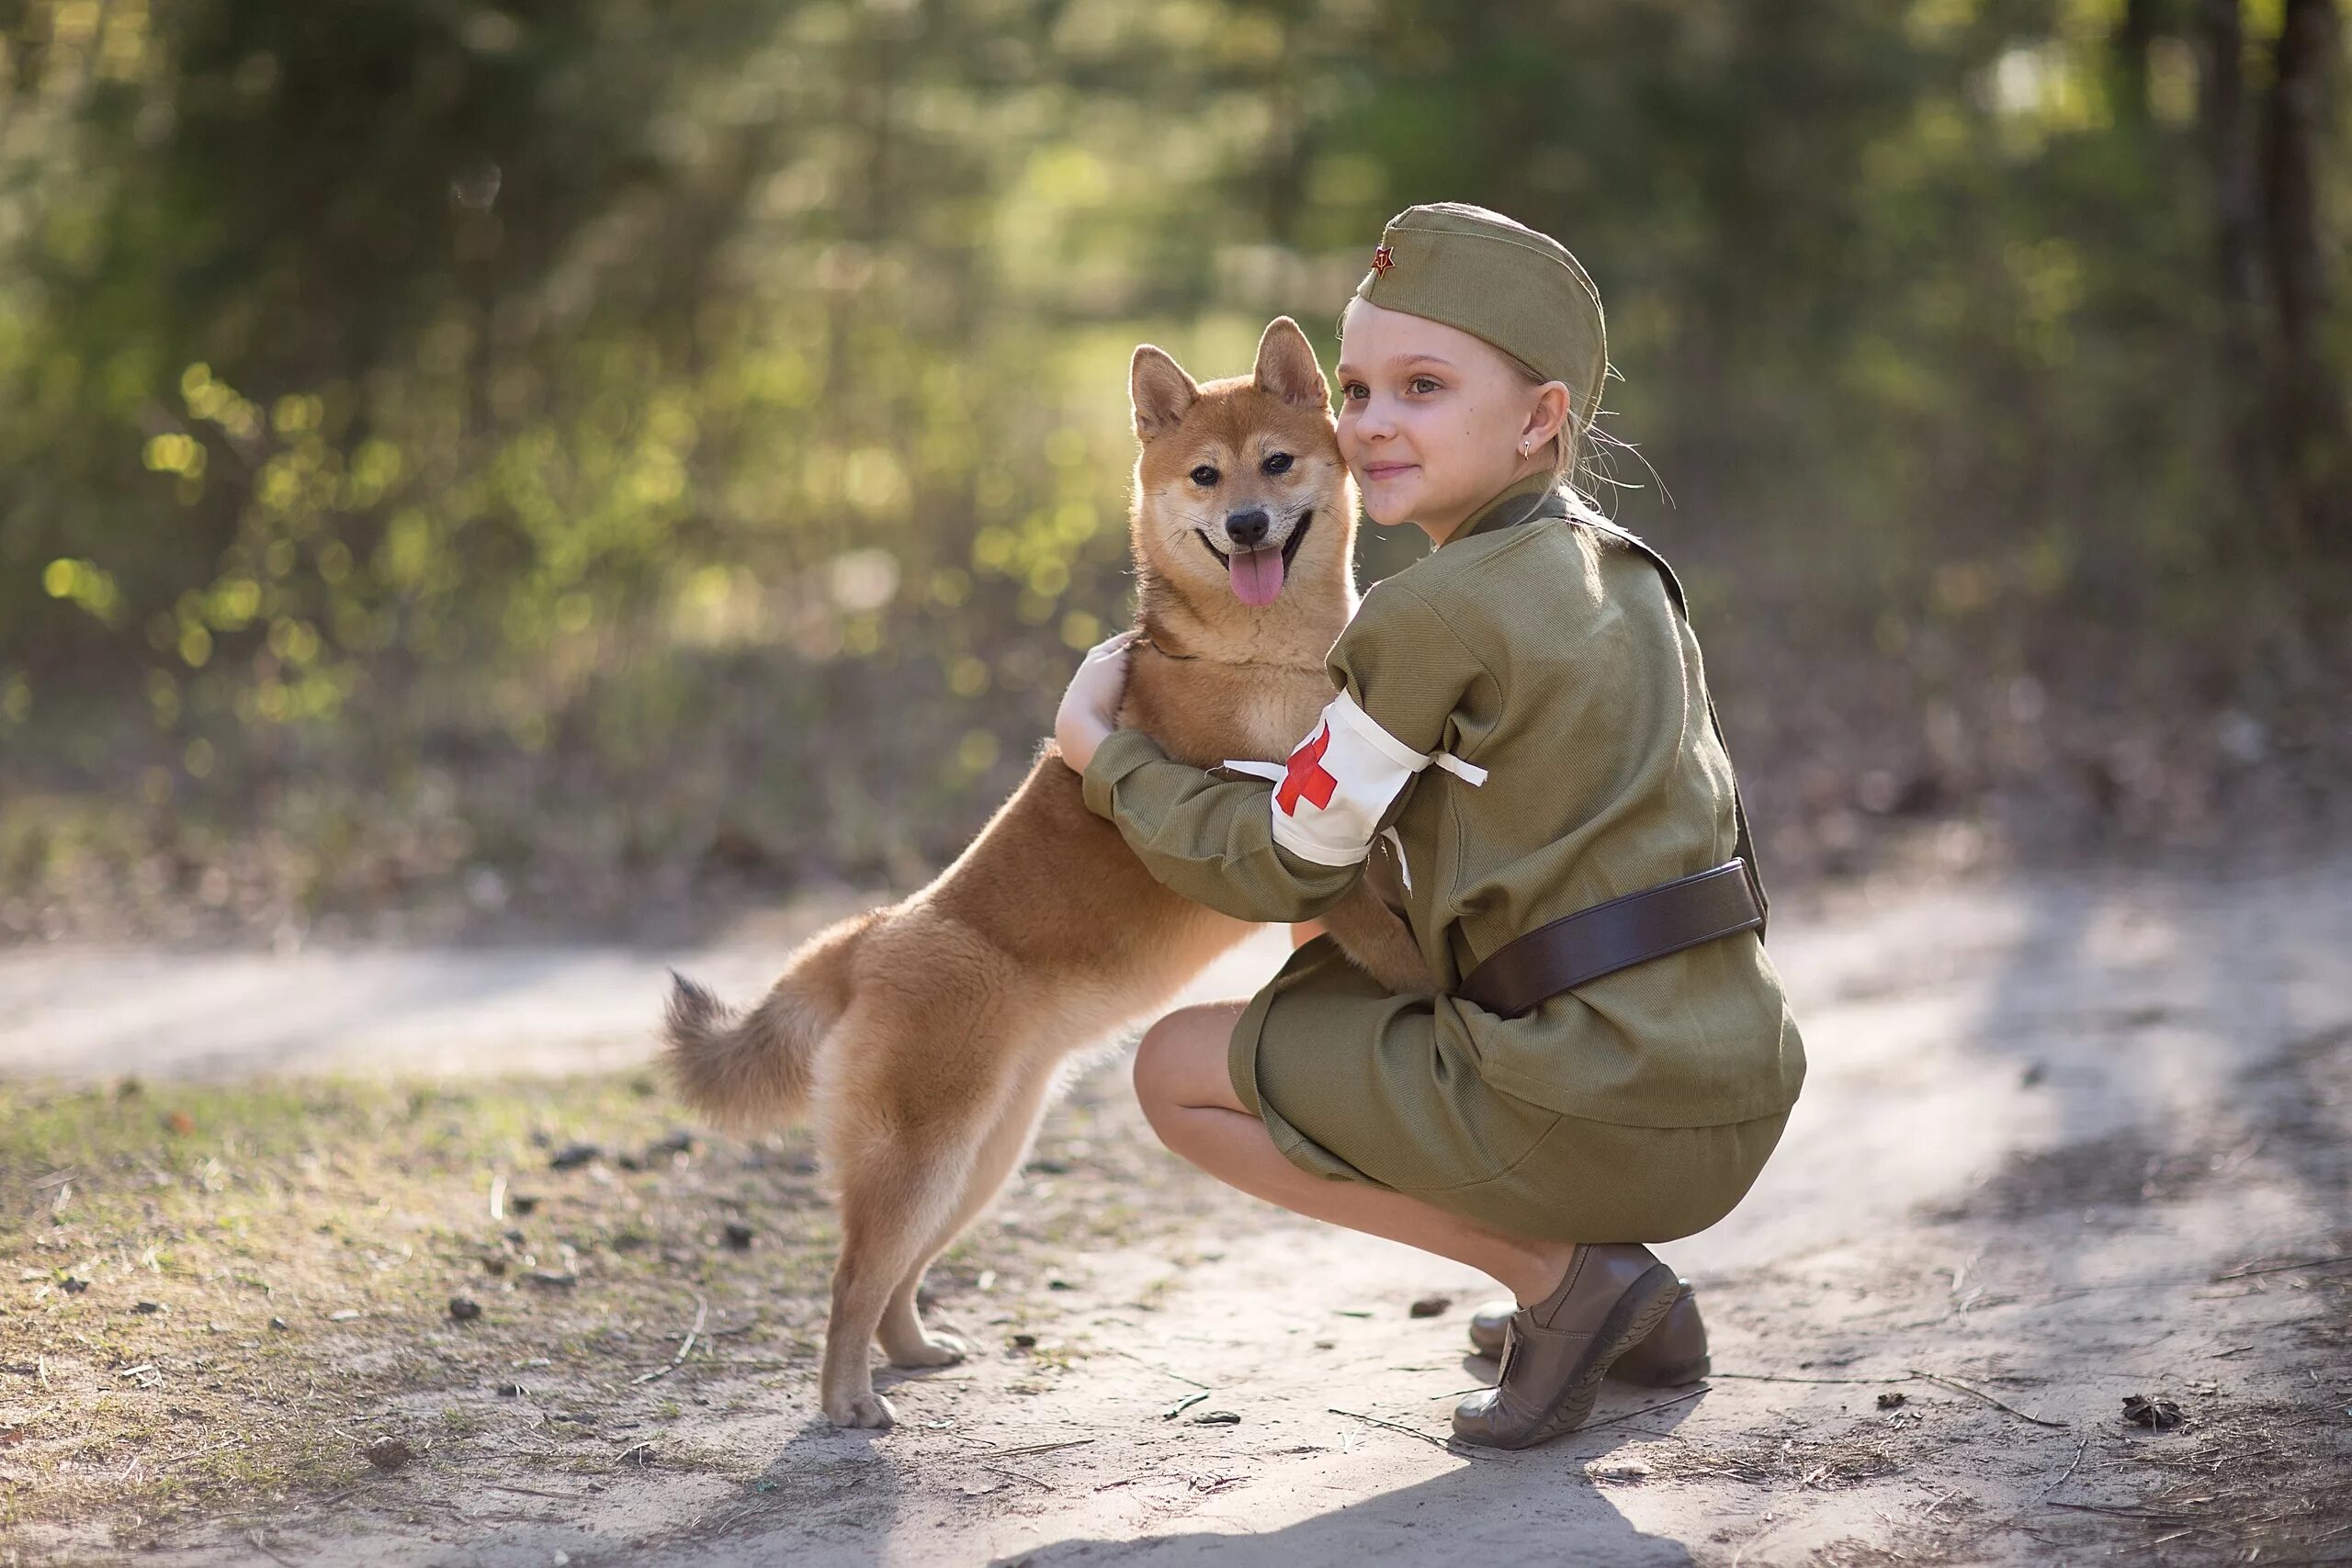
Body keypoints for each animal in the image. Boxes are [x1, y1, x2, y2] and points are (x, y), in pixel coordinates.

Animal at [673, 320, 1420, 1438]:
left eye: (1278, 463)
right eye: (1205, 475)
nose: (1245, 523)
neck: (1260, 659)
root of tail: (875, 936)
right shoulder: (1283, 842)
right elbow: (1377, 917)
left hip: (983, 1158)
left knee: (894, 1279)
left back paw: (915, 1353)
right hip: (927, 1157)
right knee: (851, 1281)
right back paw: (849, 1401)